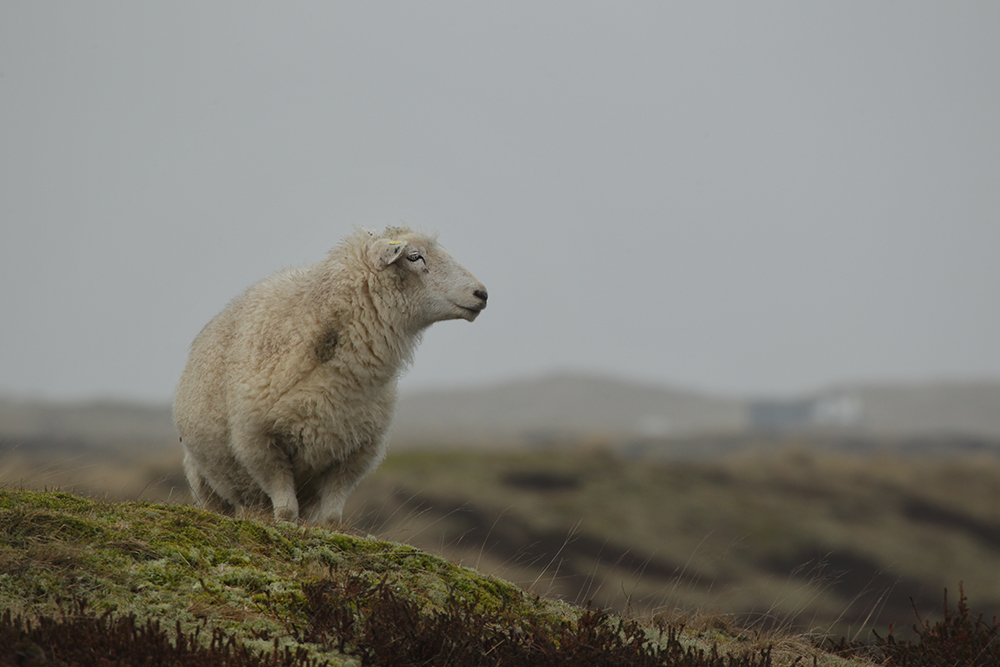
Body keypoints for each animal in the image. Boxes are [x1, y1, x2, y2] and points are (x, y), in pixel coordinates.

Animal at [174, 230, 486, 528]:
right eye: (414, 256)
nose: (481, 293)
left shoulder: (355, 455)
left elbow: (331, 519)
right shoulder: (260, 445)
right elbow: (286, 511)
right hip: (203, 480)